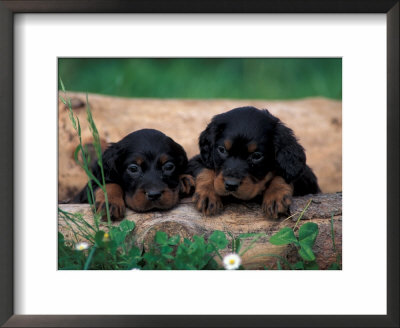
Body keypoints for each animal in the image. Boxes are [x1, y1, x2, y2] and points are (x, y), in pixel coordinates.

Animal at [186, 107, 320, 219]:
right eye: (222, 150)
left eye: (256, 156)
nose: (231, 185)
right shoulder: (198, 160)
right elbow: (205, 169)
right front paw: (208, 194)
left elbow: (282, 174)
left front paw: (275, 196)